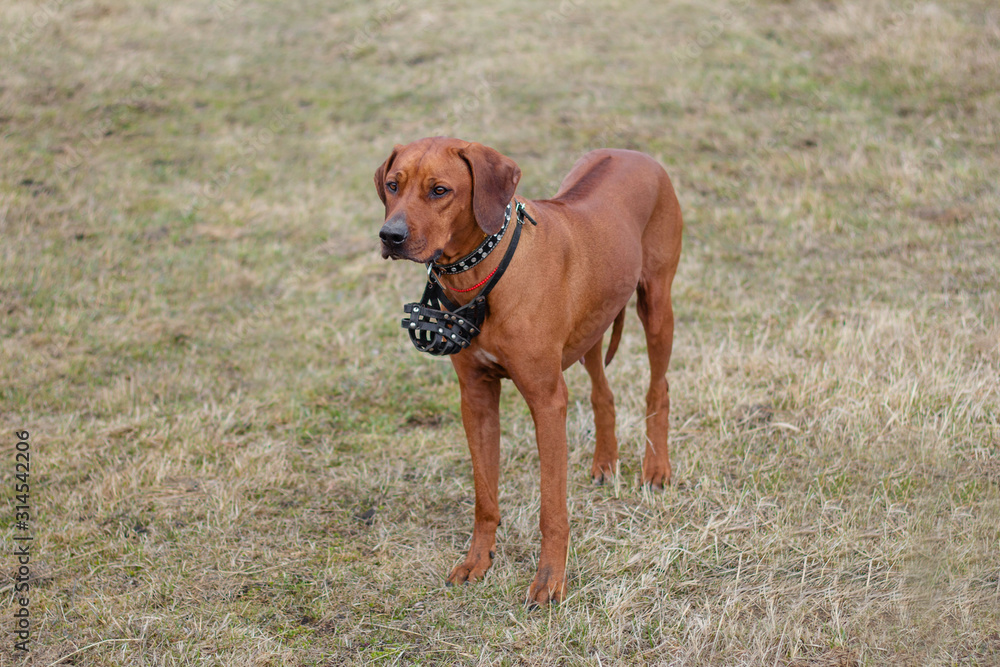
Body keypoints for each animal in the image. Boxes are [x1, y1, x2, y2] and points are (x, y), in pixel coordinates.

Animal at [376, 138, 680, 608]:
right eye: (393, 185)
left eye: (440, 190)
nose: (390, 236)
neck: (481, 273)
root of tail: (633, 152)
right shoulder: (476, 398)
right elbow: (485, 496)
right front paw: (478, 561)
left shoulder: (547, 401)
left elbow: (552, 508)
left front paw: (550, 581)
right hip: (593, 325)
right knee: (603, 393)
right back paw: (605, 461)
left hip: (657, 304)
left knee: (657, 387)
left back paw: (656, 468)